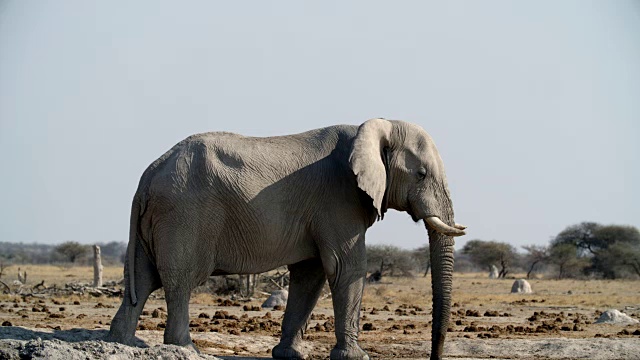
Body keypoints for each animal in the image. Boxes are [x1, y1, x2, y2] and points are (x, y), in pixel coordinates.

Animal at [105, 118, 464, 360]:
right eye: (421, 175)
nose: (434, 357)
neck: (371, 126)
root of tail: (149, 174)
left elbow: (310, 275)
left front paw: (290, 355)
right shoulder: (338, 200)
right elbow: (344, 268)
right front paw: (355, 357)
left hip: (160, 217)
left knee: (142, 278)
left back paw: (124, 343)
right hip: (184, 214)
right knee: (180, 280)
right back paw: (185, 348)